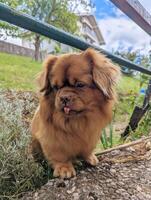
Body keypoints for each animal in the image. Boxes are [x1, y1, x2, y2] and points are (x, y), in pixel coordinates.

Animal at [31, 48, 120, 178]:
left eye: (80, 85)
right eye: (56, 87)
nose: (64, 97)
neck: (77, 120)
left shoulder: (91, 135)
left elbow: (88, 149)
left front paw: (89, 158)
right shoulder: (51, 139)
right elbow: (59, 154)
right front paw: (64, 168)